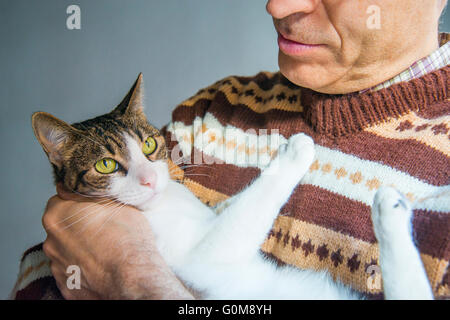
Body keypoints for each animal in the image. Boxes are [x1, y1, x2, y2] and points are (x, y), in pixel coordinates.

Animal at [30, 74, 432, 298]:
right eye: (106, 165)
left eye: (149, 145)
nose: (150, 179)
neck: (165, 204)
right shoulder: (202, 259)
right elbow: (251, 204)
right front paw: (293, 152)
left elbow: (232, 204)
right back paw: (389, 209)